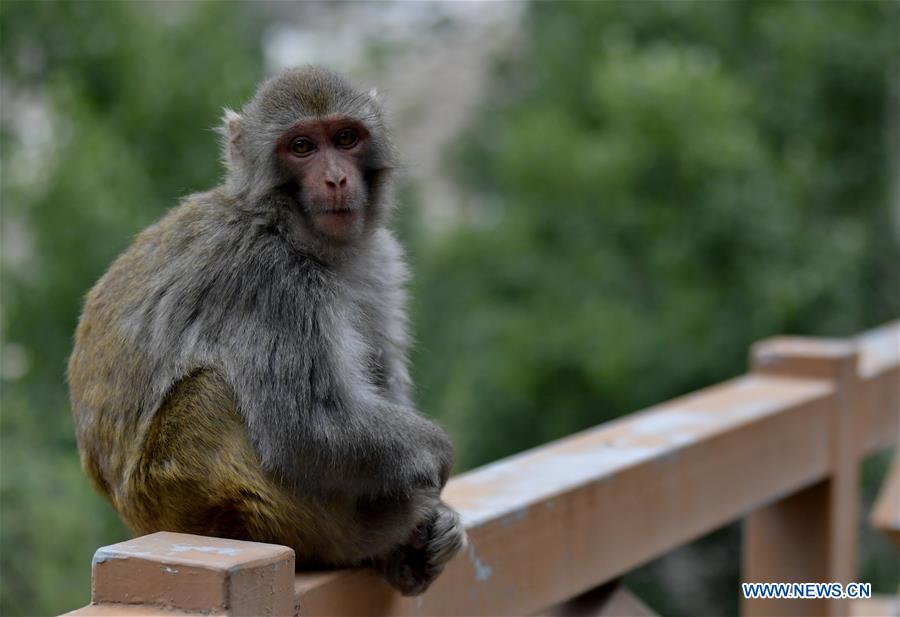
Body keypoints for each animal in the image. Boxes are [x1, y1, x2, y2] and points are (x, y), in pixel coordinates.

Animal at [67, 66, 468, 592]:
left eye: (346, 138)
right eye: (301, 147)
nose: (336, 178)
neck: (285, 227)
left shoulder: (379, 258)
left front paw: (440, 519)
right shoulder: (272, 283)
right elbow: (307, 427)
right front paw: (439, 460)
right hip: (183, 498)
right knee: (209, 392)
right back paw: (373, 533)